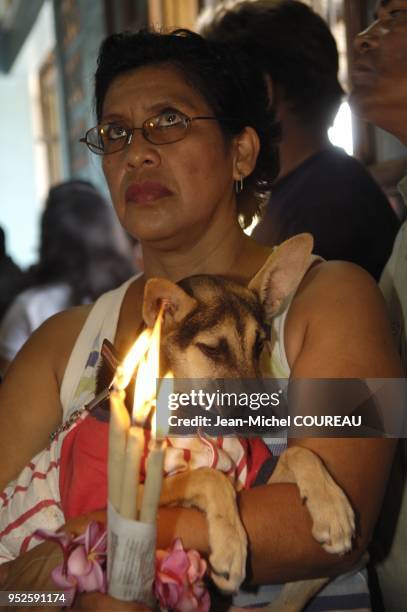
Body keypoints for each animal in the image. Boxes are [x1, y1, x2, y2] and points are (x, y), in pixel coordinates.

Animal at [139, 234, 354, 612]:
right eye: (212, 349)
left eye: (260, 344)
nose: (267, 418)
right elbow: (209, 477)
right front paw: (230, 546)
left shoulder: (254, 474)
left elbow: (301, 455)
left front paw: (331, 507)